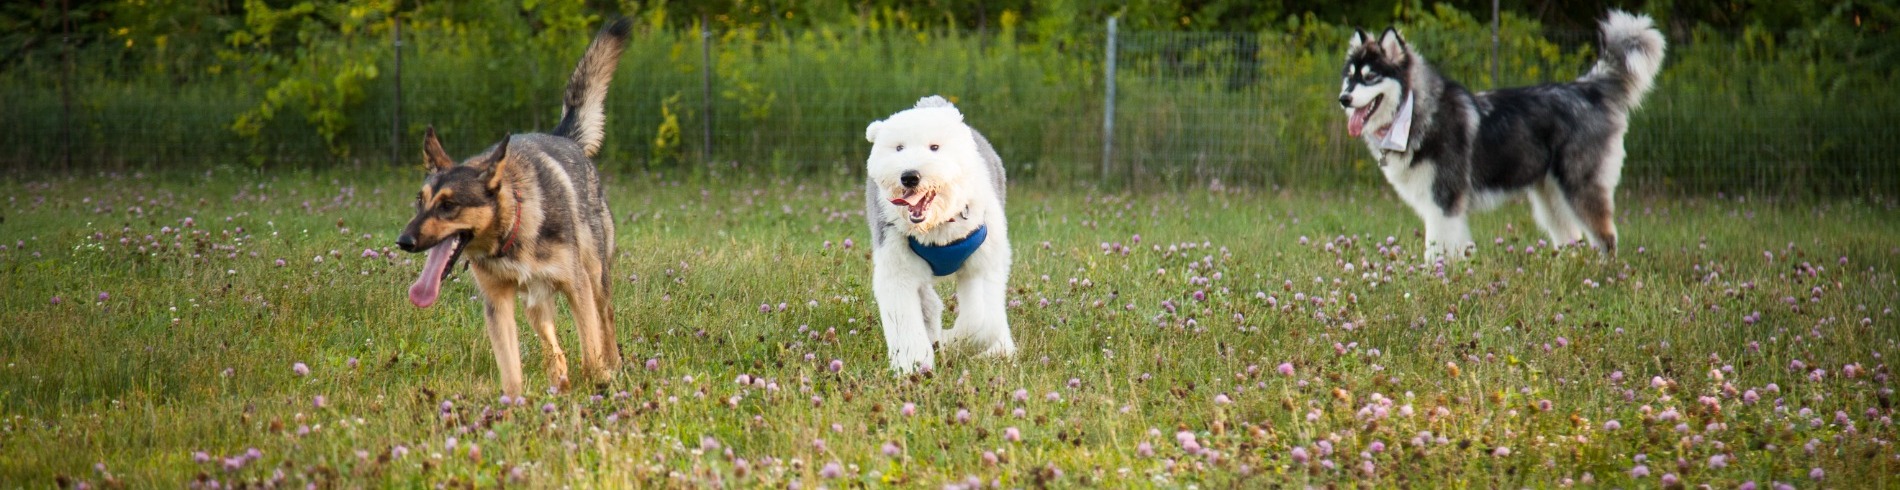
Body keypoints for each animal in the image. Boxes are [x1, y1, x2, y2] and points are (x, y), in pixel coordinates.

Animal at [393, 19, 630, 398]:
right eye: (420, 200)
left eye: (449, 205)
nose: (404, 241)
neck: (511, 230)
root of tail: (564, 137)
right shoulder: (498, 302)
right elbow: (511, 369)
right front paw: (515, 404)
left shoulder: (577, 287)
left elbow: (590, 348)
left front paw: (599, 379)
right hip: (535, 299)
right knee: (551, 343)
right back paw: (559, 380)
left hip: (596, 275)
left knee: (604, 321)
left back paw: (612, 365)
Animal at [862, 94, 1018, 372]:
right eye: (899, 148)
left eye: (934, 147)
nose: (909, 176)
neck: (938, 227)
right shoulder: (895, 260)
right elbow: (905, 321)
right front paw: (911, 366)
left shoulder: (982, 263)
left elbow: (982, 321)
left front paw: (956, 341)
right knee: (928, 303)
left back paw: (998, 350)